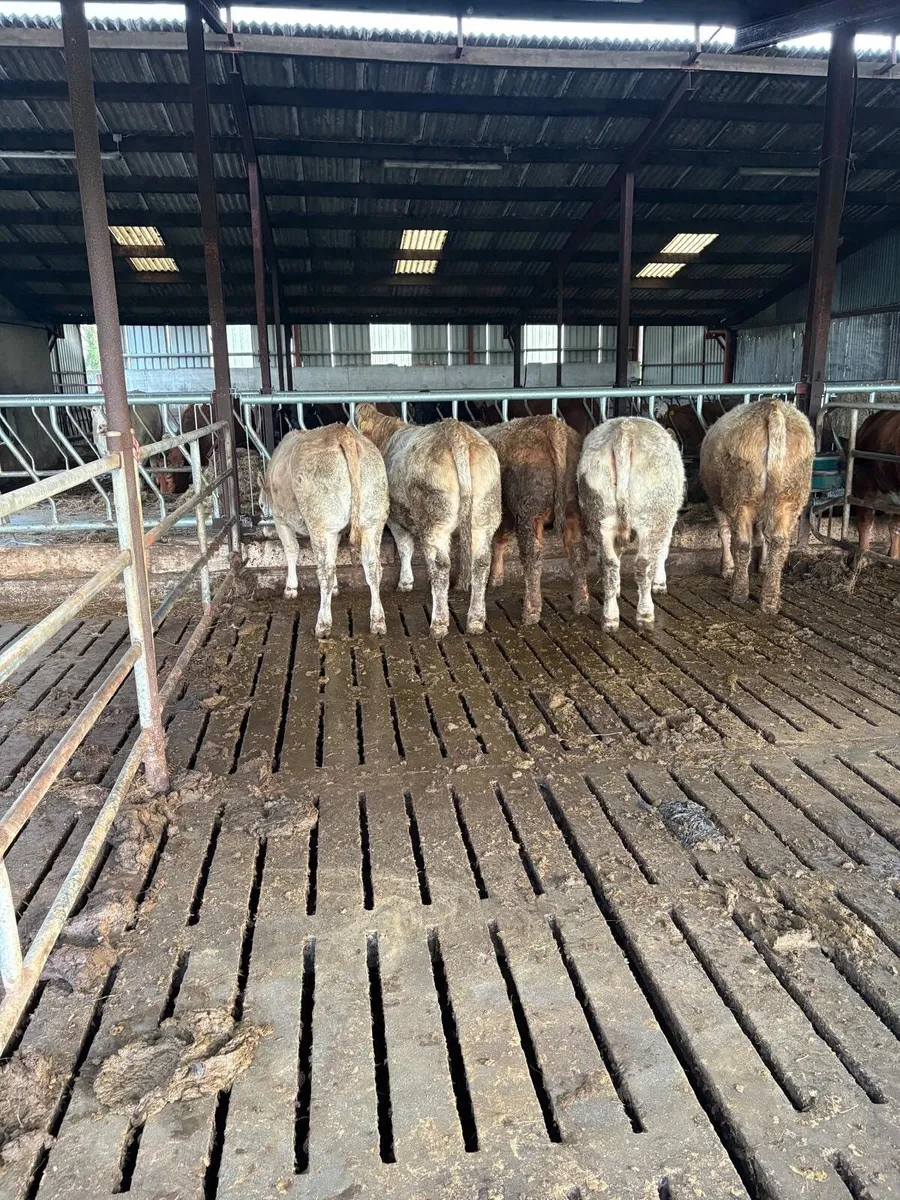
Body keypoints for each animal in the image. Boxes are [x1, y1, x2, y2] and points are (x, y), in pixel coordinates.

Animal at [258, 423, 389, 639]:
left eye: (261, 505)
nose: (266, 532)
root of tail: (343, 432)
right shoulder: (336, 532)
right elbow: (334, 556)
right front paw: (335, 588)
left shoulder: (280, 519)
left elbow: (292, 549)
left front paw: (290, 588)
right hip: (373, 520)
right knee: (373, 567)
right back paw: (377, 621)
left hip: (321, 524)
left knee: (325, 572)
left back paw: (323, 624)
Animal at [354, 403, 501, 639]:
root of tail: (455, 431)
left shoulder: (395, 517)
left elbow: (405, 547)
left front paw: (405, 582)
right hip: (484, 515)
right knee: (481, 563)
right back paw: (476, 621)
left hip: (435, 521)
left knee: (441, 565)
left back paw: (438, 624)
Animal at [479, 415, 589, 624]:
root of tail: (551, 424)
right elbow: (499, 539)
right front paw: (496, 579)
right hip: (572, 508)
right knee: (578, 550)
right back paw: (581, 604)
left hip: (529, 510)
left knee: (532, 554)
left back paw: (530, 613)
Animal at [578, 416, 685, 631]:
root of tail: (625, 431)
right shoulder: (667, 522)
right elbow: (663, 552)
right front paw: (660, 584)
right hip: (651, 519)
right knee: (643, 564)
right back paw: (645, 614)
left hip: (601, 516)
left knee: (608, 563)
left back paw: (610, 617)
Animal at [699, 398, 813, 614]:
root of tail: (772, 407)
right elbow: (763, 534)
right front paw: (763, 565)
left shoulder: (716, 499)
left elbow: (724, 533)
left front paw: (727, 568)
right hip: (789, 496)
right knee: (779, 541)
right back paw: (769, 600)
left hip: (740, 496)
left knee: (743, 542)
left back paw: (739, 592)